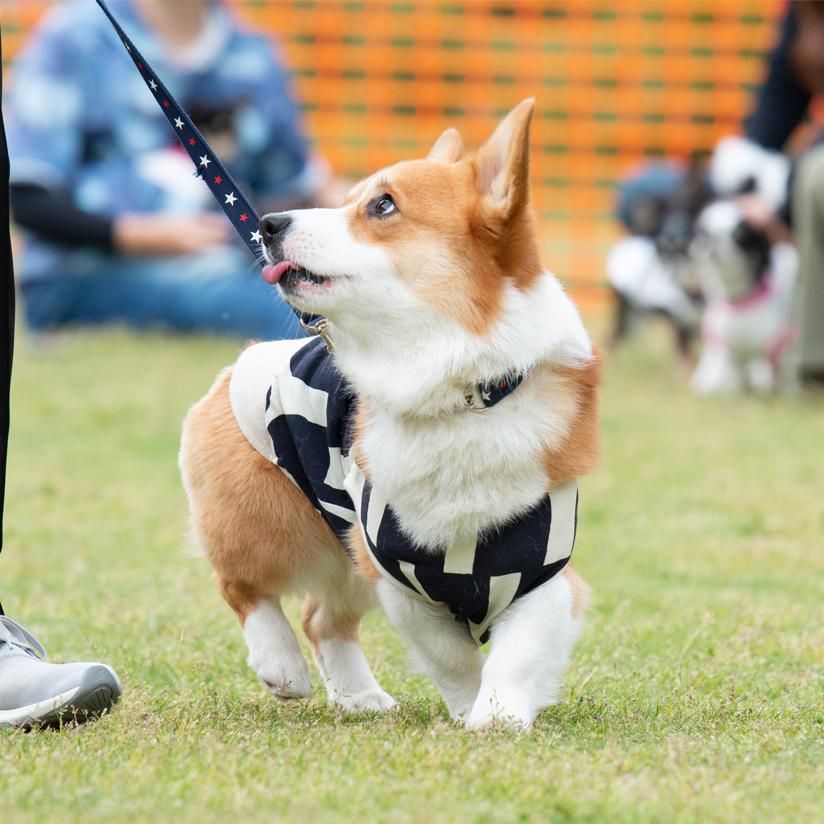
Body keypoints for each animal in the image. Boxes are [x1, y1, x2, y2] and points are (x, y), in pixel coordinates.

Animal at [179, 101, 600, 728]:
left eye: (382, 205)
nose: (269, 224)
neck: (463, 394)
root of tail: (240, 363)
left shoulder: (542, 578)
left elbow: (517, 654)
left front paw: (497, 716)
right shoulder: (397, 574)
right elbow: (452, 655)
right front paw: (469, 707)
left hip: (342, 542)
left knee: (321, 618)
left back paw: (358, 696)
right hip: (270, 523)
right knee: (242, 585)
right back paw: (281, 666)